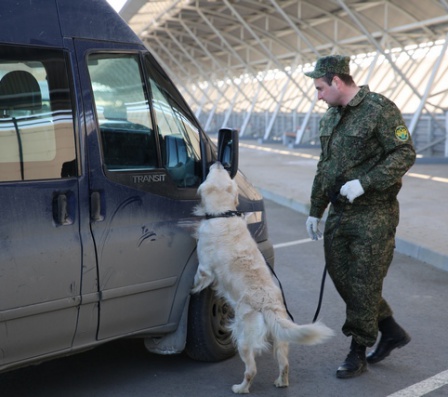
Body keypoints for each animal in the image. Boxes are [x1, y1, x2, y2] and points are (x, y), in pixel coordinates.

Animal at [191, 161, 334, 392]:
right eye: (223, 174)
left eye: (214, 172)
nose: (219, 162)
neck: (224, 214)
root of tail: (268, 304)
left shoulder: (204, 266)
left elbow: (198, 277)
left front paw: (191, 289)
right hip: (280, 340)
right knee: (284, 364)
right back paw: (281, 382)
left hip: (243, 338)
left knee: (251, 370)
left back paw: (240, 388)